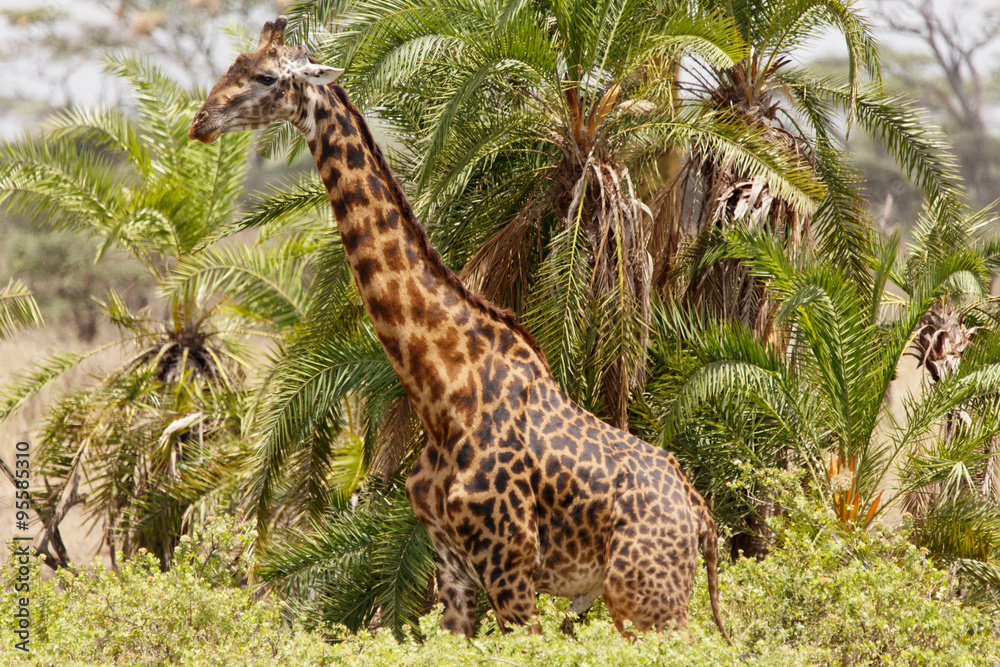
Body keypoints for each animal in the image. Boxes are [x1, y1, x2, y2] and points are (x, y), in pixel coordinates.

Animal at [189, 17, 730, 643]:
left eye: (266, 77)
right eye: (231, 66)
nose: (201, 121)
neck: (442, 389)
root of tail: (700, 515)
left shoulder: (510, 562)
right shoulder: (452, 565)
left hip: (648, 598)